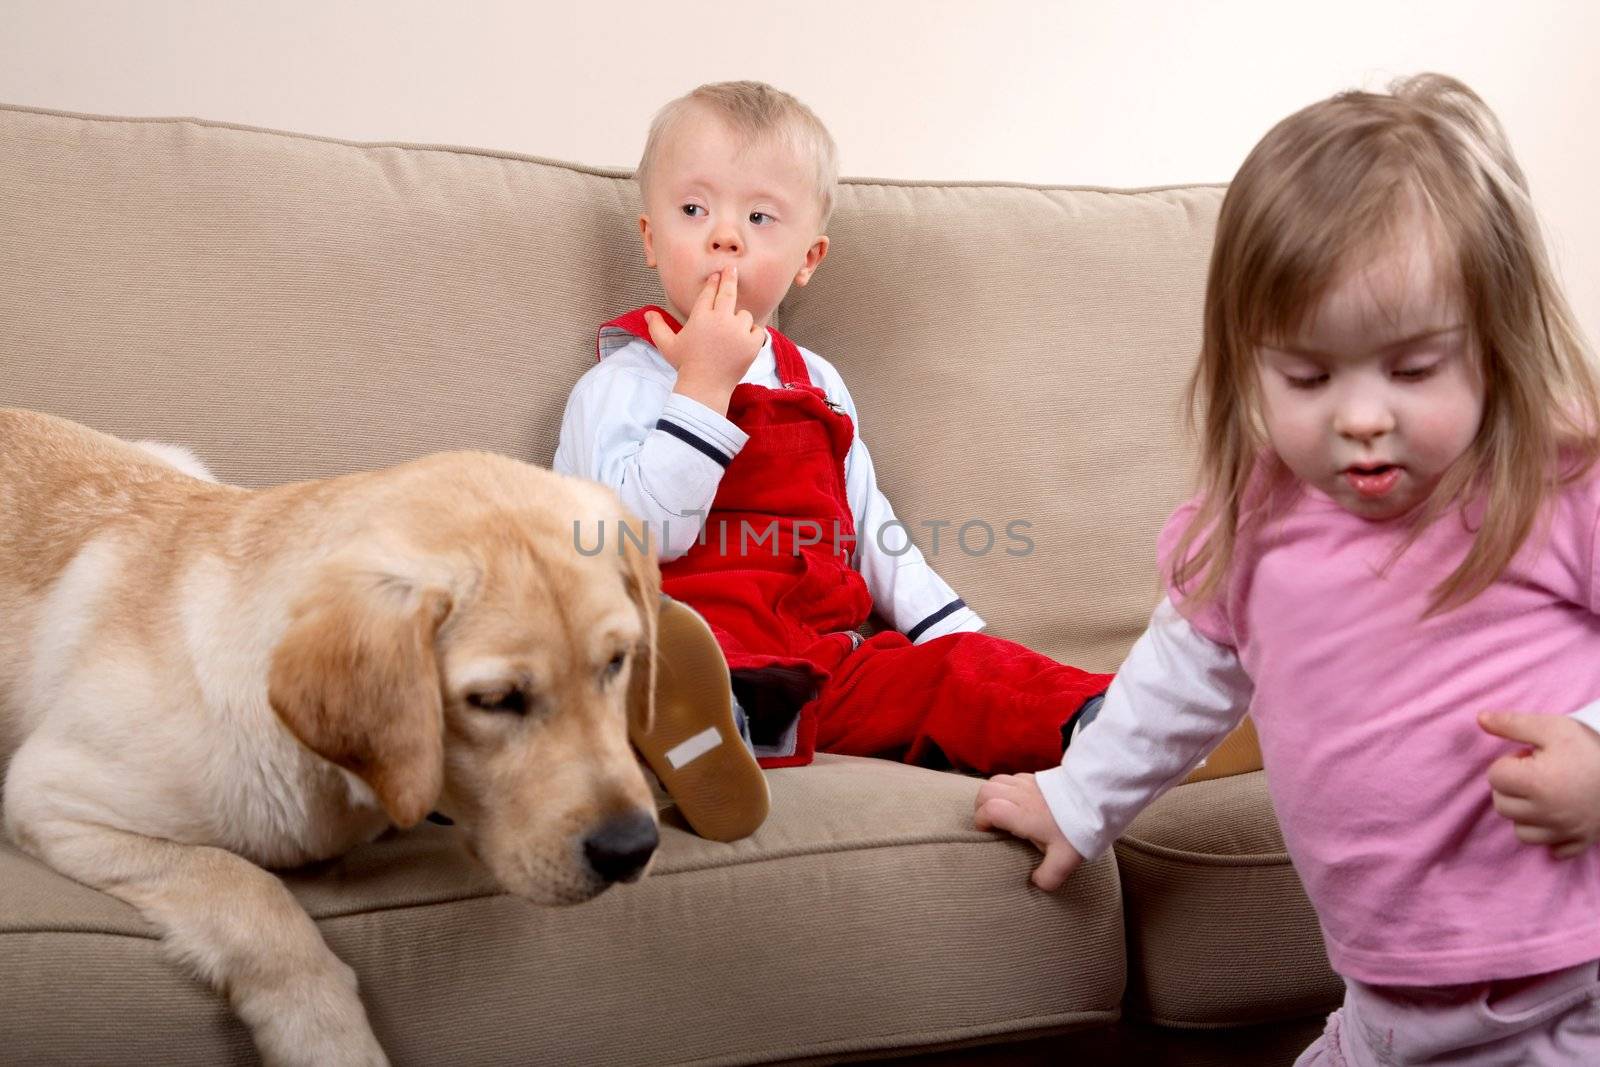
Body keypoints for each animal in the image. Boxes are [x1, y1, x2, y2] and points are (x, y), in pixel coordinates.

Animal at [0, 412, 662, 1067]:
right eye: (496, 700)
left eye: (617, 663)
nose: (632, 849)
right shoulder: (48, 799)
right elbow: (247, 887)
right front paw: (324, 1034)